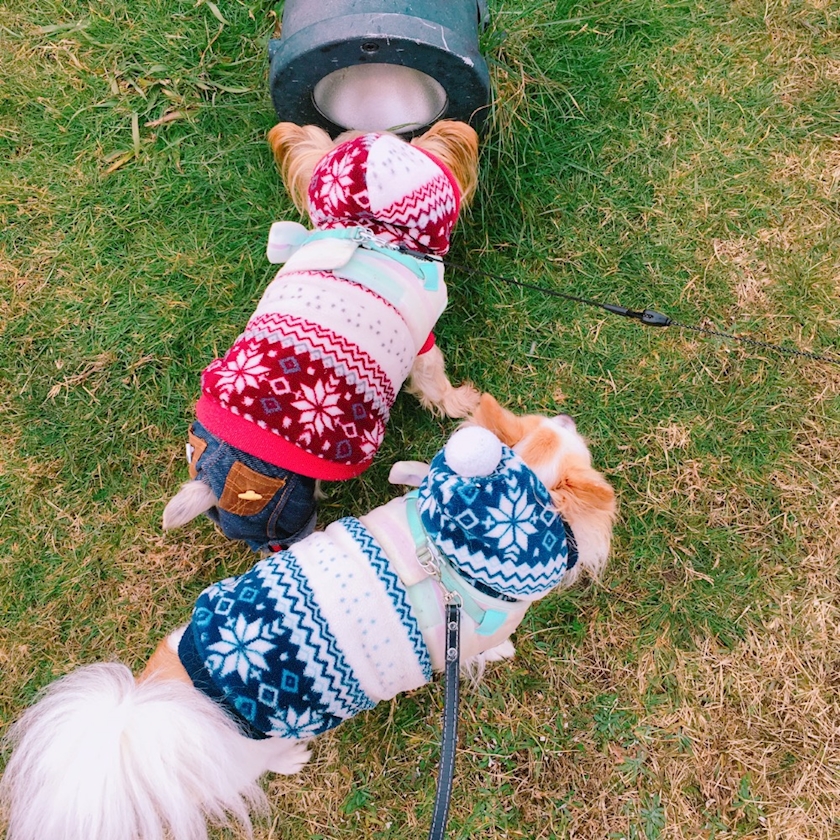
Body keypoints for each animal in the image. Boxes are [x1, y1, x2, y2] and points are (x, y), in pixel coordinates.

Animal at [0, 395, 615, 840]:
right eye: (577, 445)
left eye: (542, 422)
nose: (566, 413)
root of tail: (157, 704)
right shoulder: (472, 635)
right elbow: (488, 649)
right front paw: (504, 651)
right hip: (249, 745)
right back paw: (292, 760)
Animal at [162, 120, 480, 552]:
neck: (367, 230)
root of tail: (212, 481)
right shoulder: (423, 347)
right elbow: (436, 385)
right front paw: (463, 403)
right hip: (284, 508)